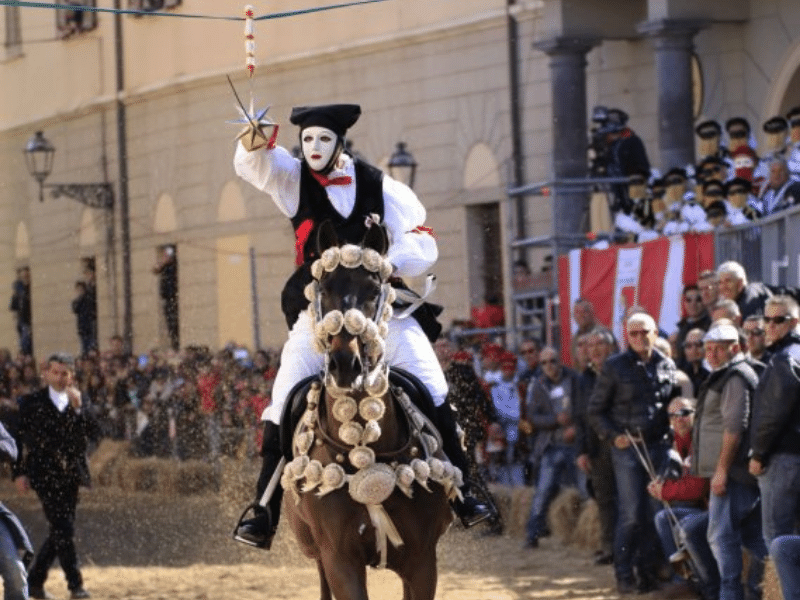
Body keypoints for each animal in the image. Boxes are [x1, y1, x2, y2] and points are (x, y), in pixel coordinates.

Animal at [282, 221, 456, 600]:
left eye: (374, 289)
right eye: (324, 288)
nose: (345, 364)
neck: (365, 448)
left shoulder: (423, 561)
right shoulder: (339, 560)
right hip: (318, 555)